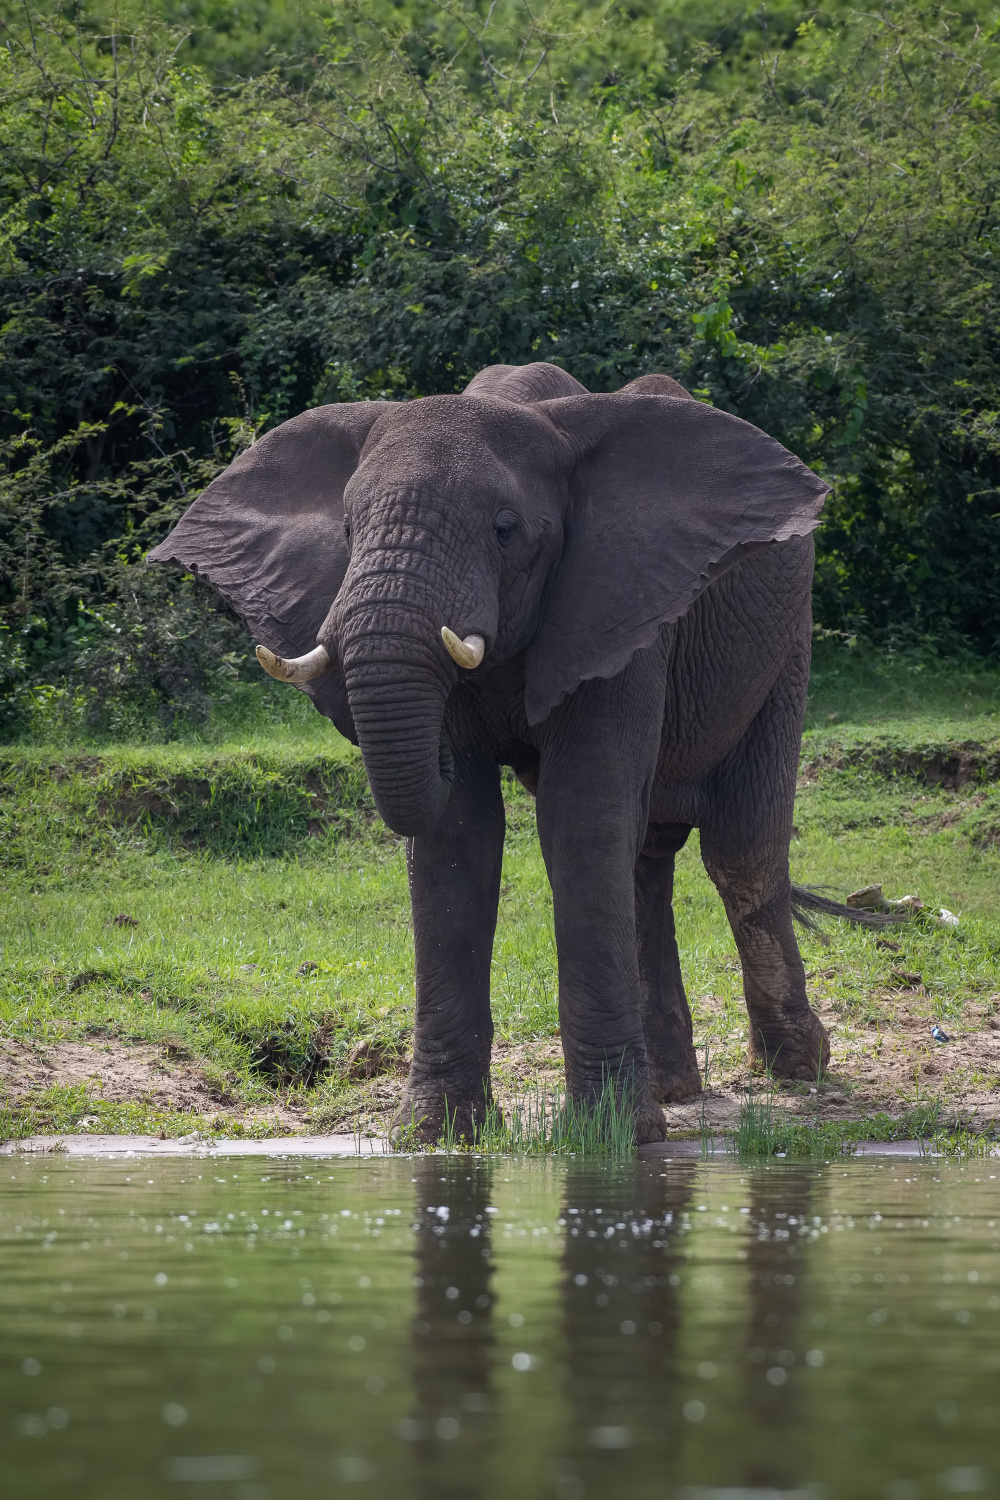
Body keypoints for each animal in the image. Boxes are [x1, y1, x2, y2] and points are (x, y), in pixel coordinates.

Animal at [150, 363, 875, 1146]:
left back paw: (796, 1069)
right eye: (346, 528)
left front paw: (612, 1138)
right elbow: (459, 838)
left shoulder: (616, 609)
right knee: (646, 858)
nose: (441, 754)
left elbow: (580, 822)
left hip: (786, 641)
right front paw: (435, 1134)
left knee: (739, 851)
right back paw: (673, 1088)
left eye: (505, 530)